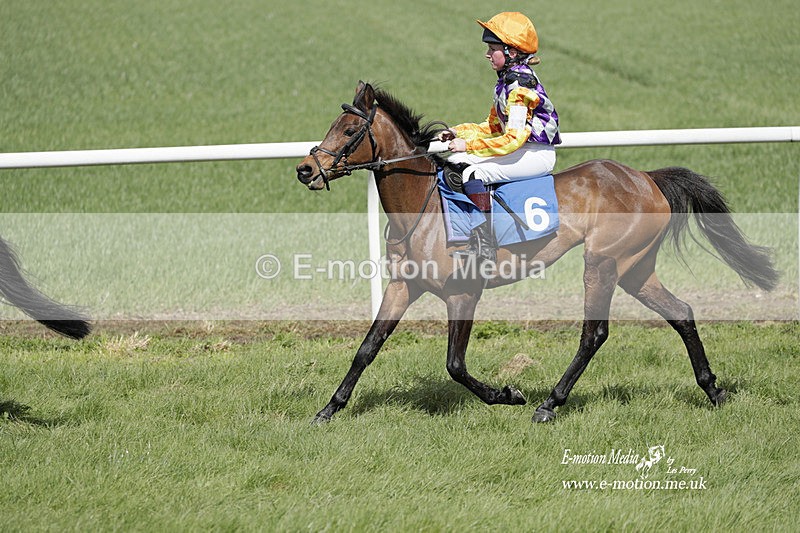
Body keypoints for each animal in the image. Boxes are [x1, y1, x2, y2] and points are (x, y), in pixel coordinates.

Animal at [296, 81, 778, 425]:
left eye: (349, 130)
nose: (305, 169)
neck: (424, 208)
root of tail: (647, 177)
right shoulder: (402, 286)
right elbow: (367, 348)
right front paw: (329, 409)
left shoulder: (463, 294)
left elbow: (455, 364)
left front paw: (506, 394)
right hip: (636, 268)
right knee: (682, 314)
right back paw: (713, 389)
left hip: (603, 263)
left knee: (594, 333)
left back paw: (549, 403)